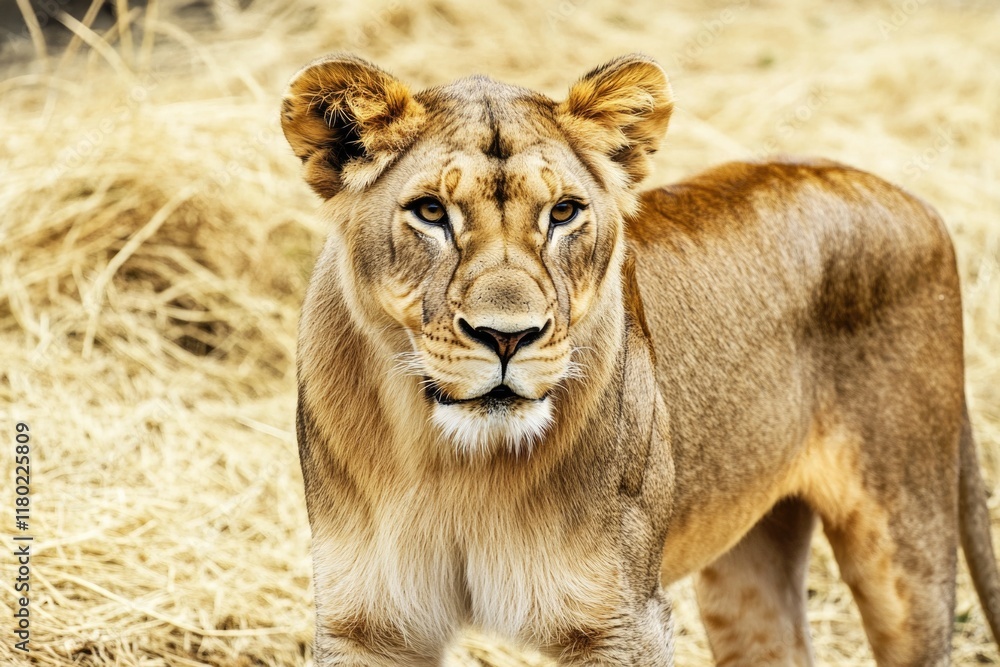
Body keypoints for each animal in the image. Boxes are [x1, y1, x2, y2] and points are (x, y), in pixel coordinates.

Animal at [281, 53, 1000, 665]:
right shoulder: (367, 621)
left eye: (563, 212)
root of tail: (919, 204)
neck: (453, 465)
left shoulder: (623, 620)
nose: (508, 337)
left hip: (906, 538)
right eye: (431, 211)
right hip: (748, 555)